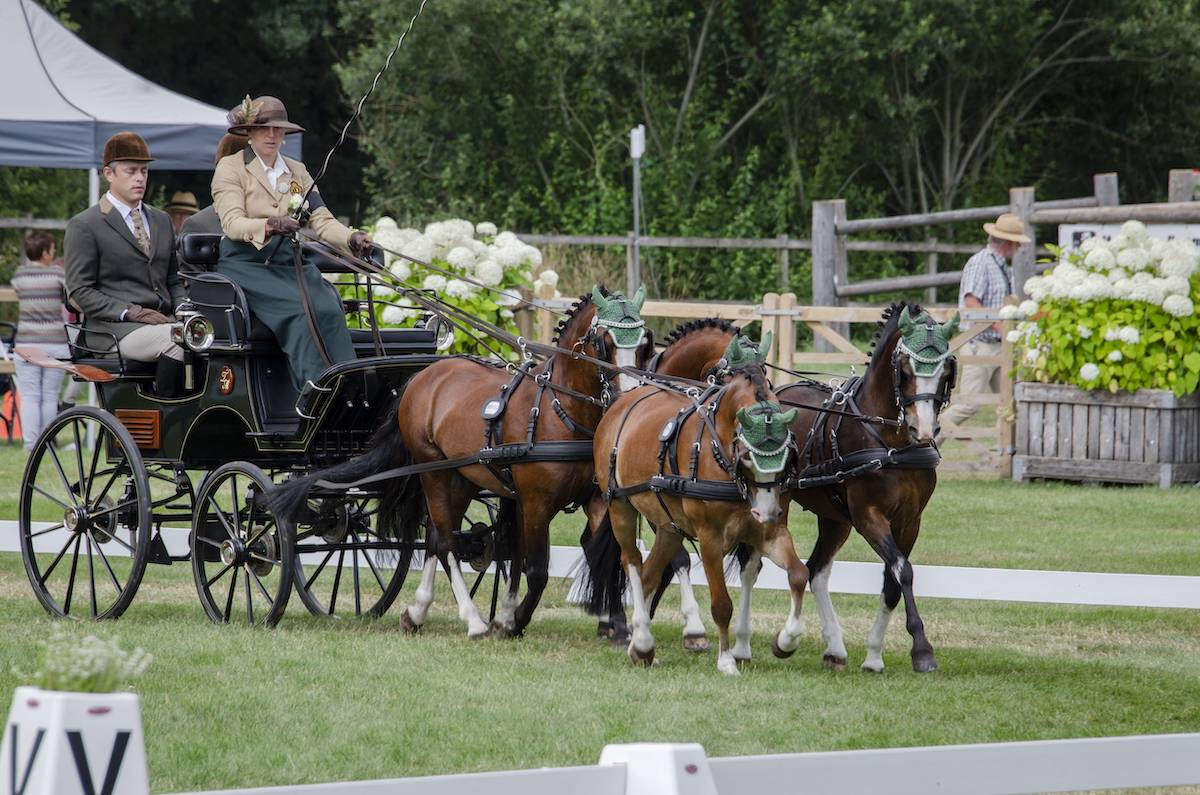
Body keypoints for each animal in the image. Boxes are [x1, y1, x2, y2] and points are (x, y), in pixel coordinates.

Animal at [269, 285, 652, 638]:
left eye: (644, 343)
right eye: (604, 341)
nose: (630, 397)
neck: (558, 410)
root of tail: (423, 376)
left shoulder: (596, 500)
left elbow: (608, 557)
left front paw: (617, 625)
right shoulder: (536, 502)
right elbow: (537, 569)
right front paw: (511, 623)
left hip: (462, 476)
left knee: (436, 539)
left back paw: (417, 613)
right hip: (434, 474)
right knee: (446, 543)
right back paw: (473, 621)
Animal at [590, 359, 803, 675]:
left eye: (788, 457)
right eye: (747, 456)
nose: (765, 512)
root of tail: (620, 404)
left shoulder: (770, 533)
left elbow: (799, 575)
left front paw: (786, 641)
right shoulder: (710, 538)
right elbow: (722, 604)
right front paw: (726, 660)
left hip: (669, 526)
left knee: (650, 573)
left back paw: (641, 649)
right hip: (620, 507)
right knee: (632, 563)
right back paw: (642, 641)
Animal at [774, 302, 958, 673]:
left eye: (946, 370)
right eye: (905, 370)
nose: (923, 430)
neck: (891, 442)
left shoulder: (910, 520)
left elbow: (892, 581)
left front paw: (874, 656)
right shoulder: (868, 516)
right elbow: (903, 570)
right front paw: (922, 650)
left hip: (834, 519)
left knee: (815, 571)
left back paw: (834, 648)